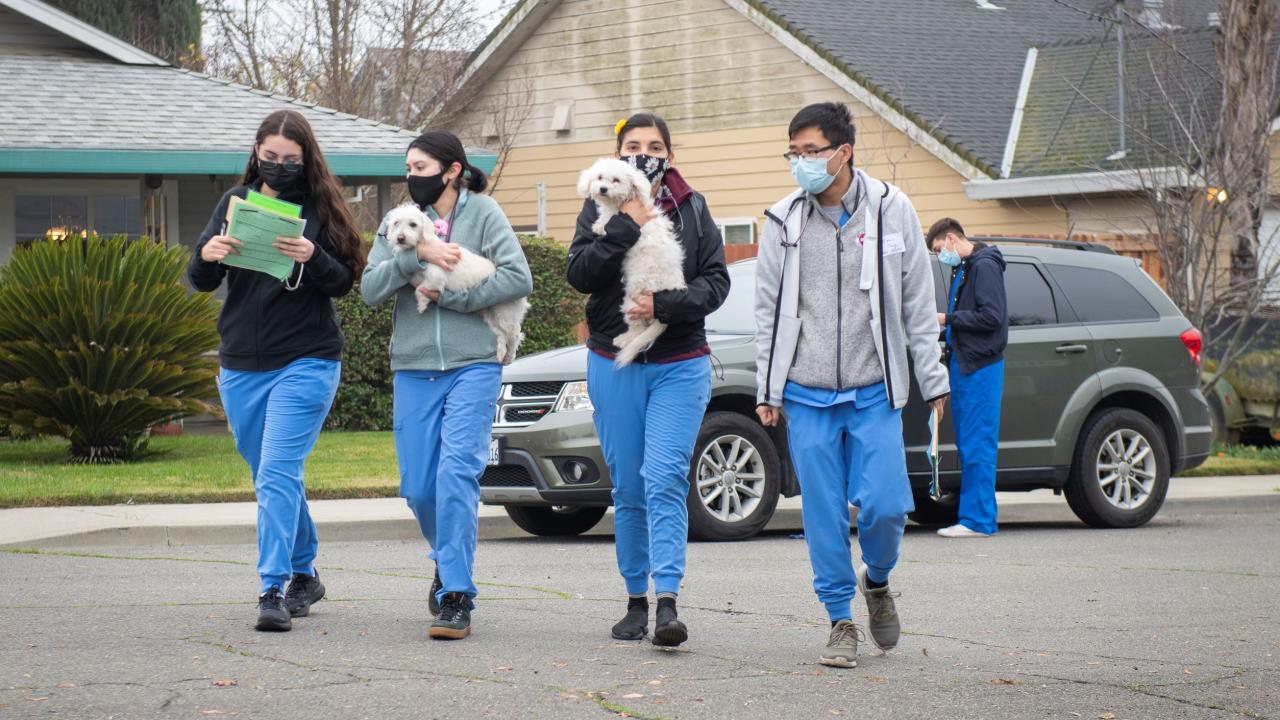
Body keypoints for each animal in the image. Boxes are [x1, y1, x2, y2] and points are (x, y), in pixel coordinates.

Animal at [381, 203, 527, 363]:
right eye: (396, 223)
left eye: (413, 224)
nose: (400, 238)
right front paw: (384, 265)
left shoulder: (435, 278)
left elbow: (419, 289)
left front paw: (422, 304)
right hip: (489, 316)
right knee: (501, 335)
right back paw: (501, 353)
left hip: (505, 315)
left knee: (515, 334)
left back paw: (510, 355)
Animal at [576, 159, 686, 366]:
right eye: (599, 177)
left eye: (616, 180)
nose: (603, 189)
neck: (622, 202)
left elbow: (610, 221)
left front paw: (601, 226)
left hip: (633, 302)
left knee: (637, 329)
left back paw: (624, 339)